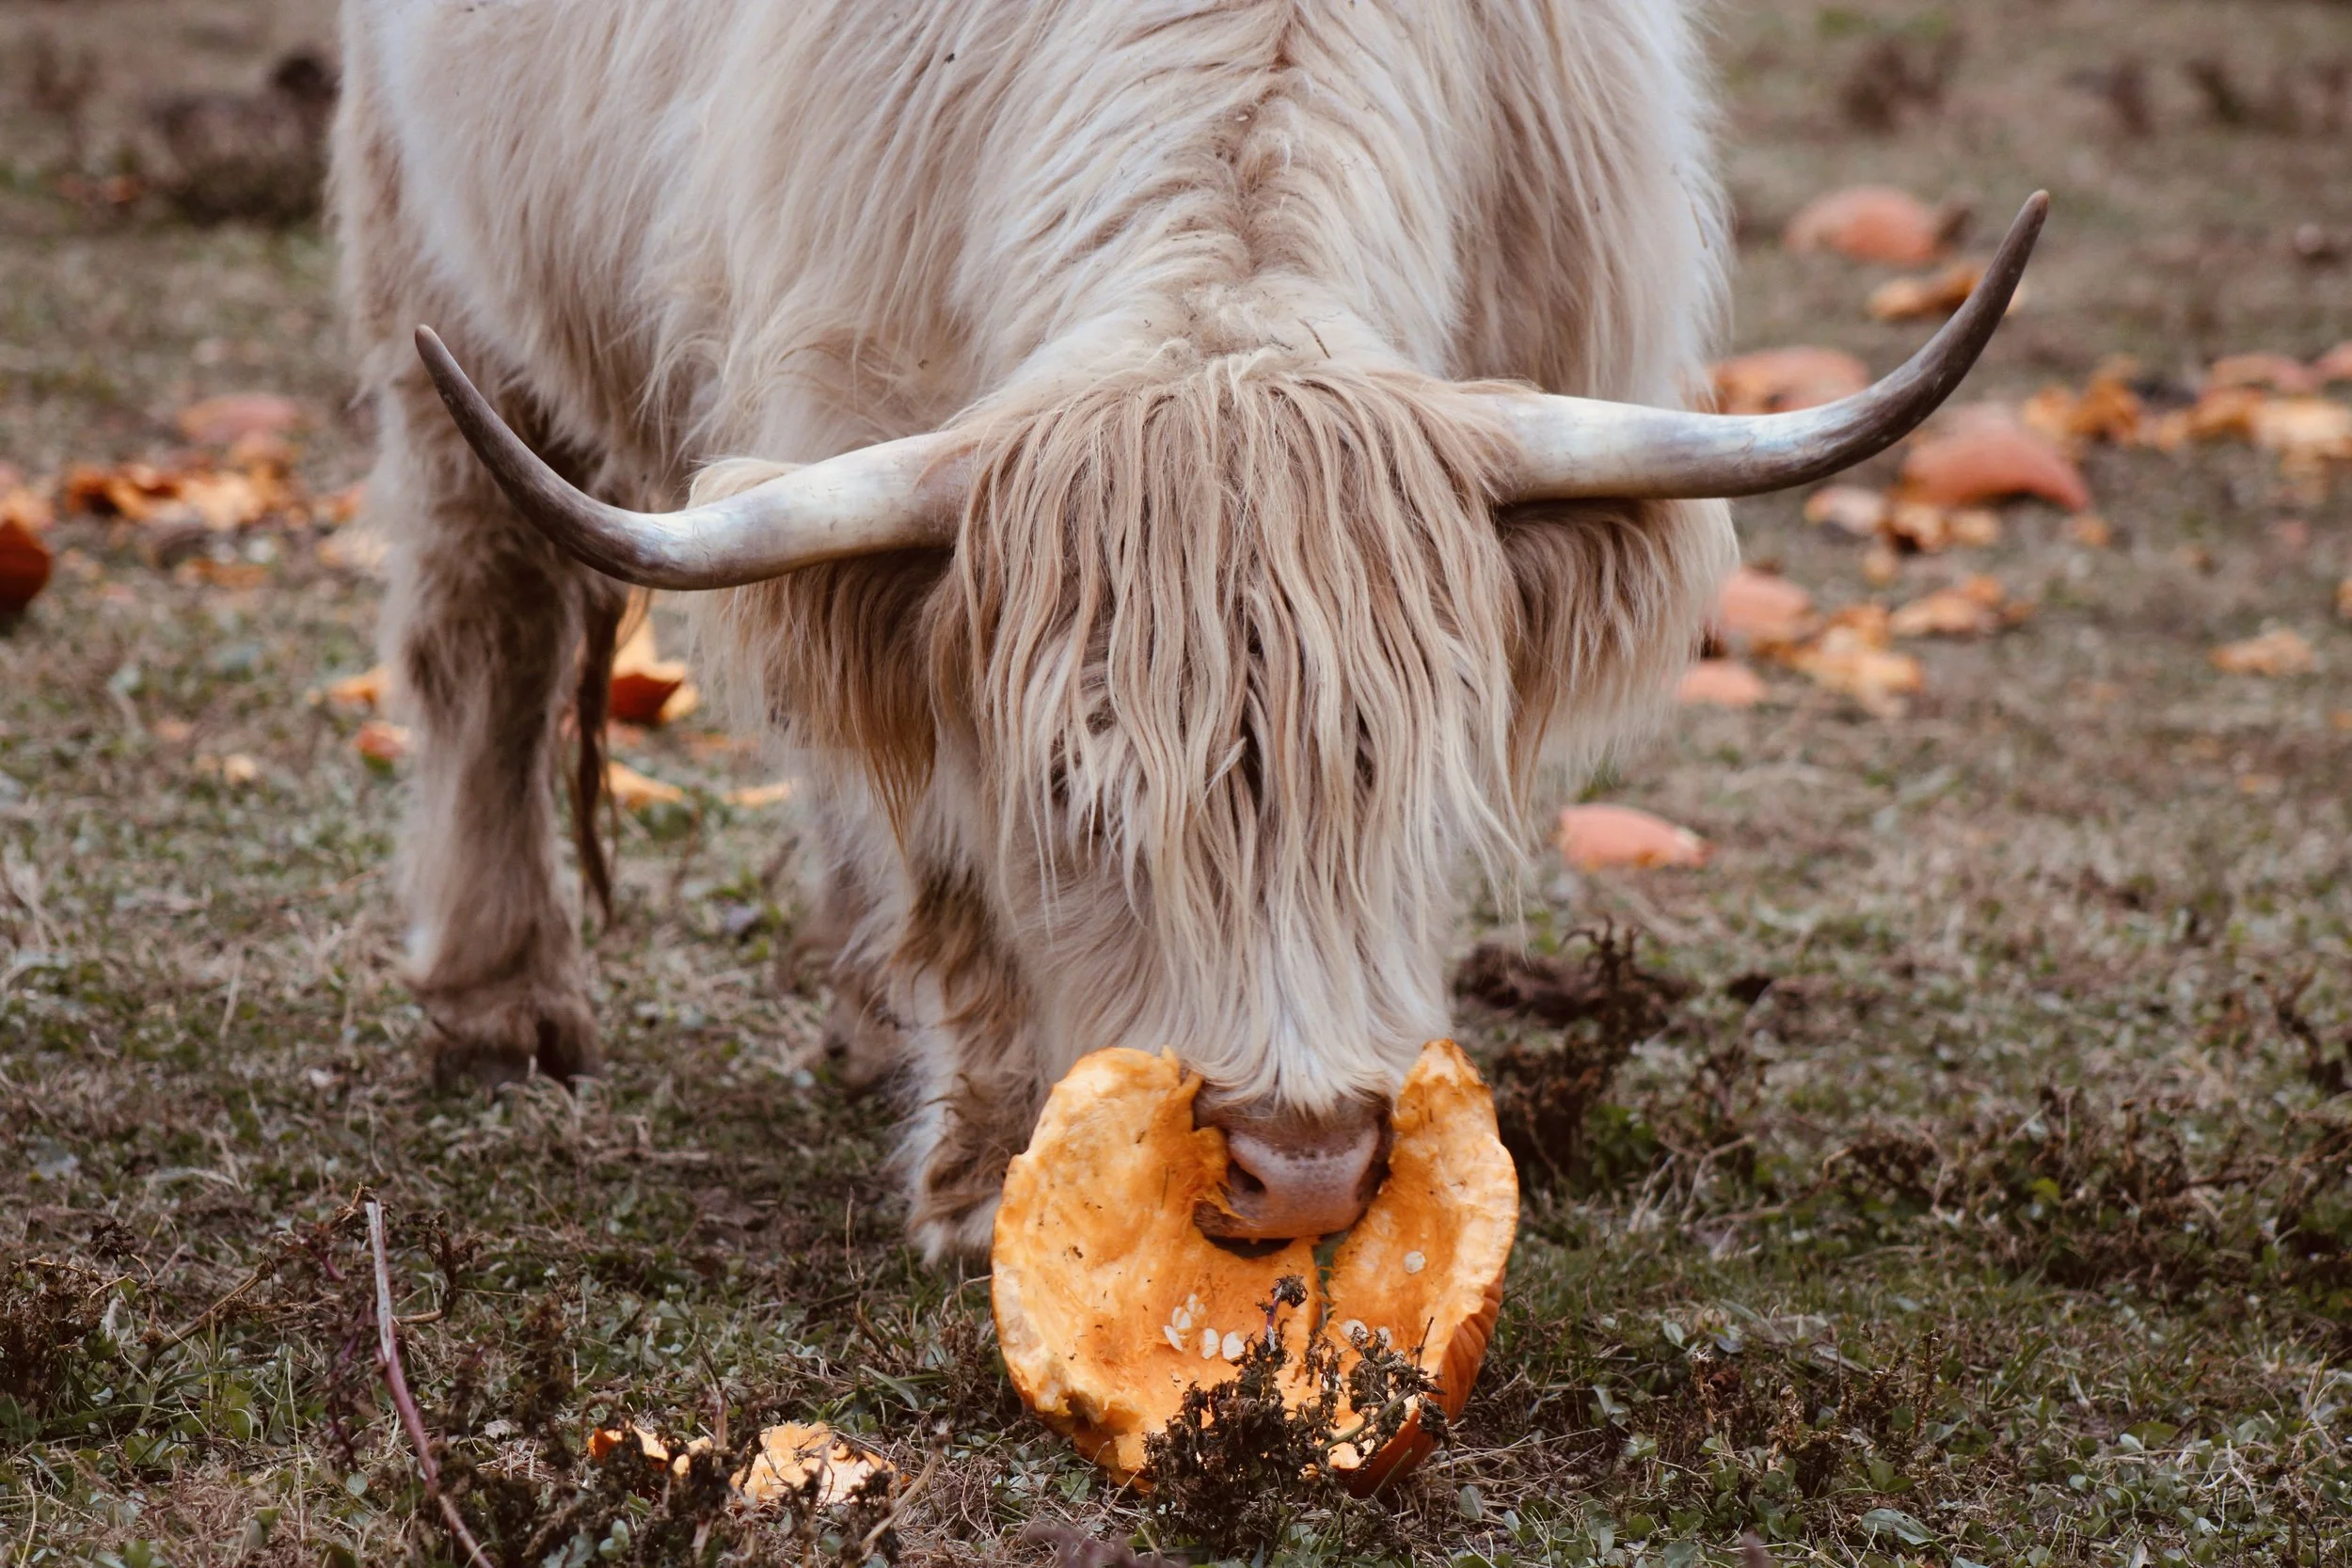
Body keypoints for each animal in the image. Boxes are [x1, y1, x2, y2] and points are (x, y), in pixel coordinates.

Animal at [336, 0, 2040, 1263]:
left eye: (1396, 774)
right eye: (1075, 795)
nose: (1303, 1170)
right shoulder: (850, 424)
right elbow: (945, 849)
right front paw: (979, 1179)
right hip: (434, 284)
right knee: (489, 616)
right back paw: (501, 1000)